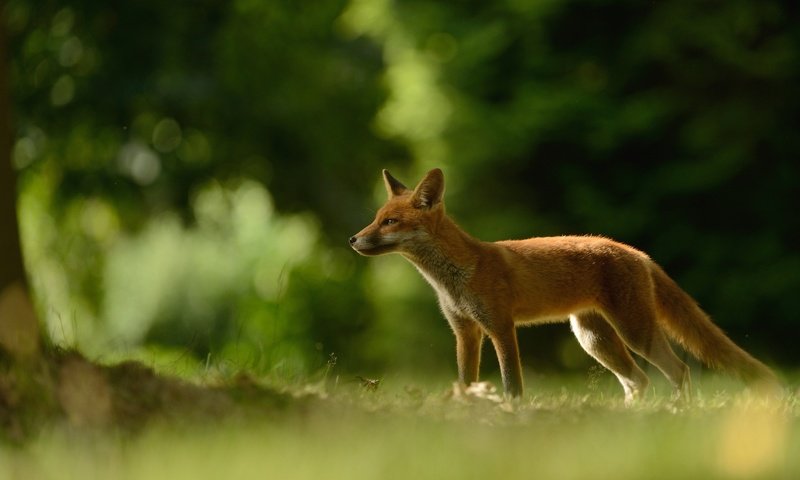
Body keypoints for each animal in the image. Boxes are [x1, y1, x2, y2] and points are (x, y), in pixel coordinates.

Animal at [346, 169, 780, 402]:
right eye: (376, 218)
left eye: (390, 222)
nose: (352, 239)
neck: (454, 277)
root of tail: (634, 251)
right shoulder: (466, 332)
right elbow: (465, 382)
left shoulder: (500, 327)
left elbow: (512, 383)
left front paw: (511, 414)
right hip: (594, 339)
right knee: (637, 381)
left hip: (633, 332)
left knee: (679, 371)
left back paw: (677, 413)